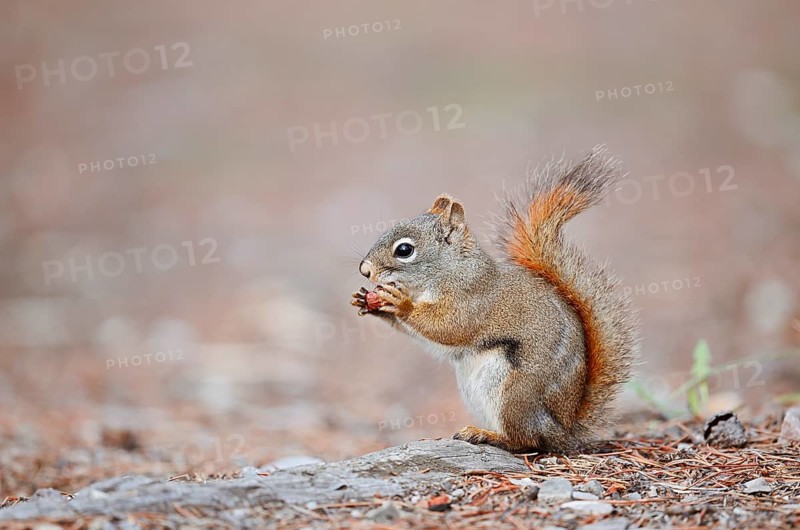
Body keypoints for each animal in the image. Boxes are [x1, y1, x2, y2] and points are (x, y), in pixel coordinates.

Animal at [351, 146, 638, 453]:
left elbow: (450, 327)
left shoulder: (471, 297)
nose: (365, 270)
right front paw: (368, 302)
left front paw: (401, 304)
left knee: (526, 440)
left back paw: (487, 435)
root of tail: (563, 430)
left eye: (404, 250)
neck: (449, 270)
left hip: (513, 392)